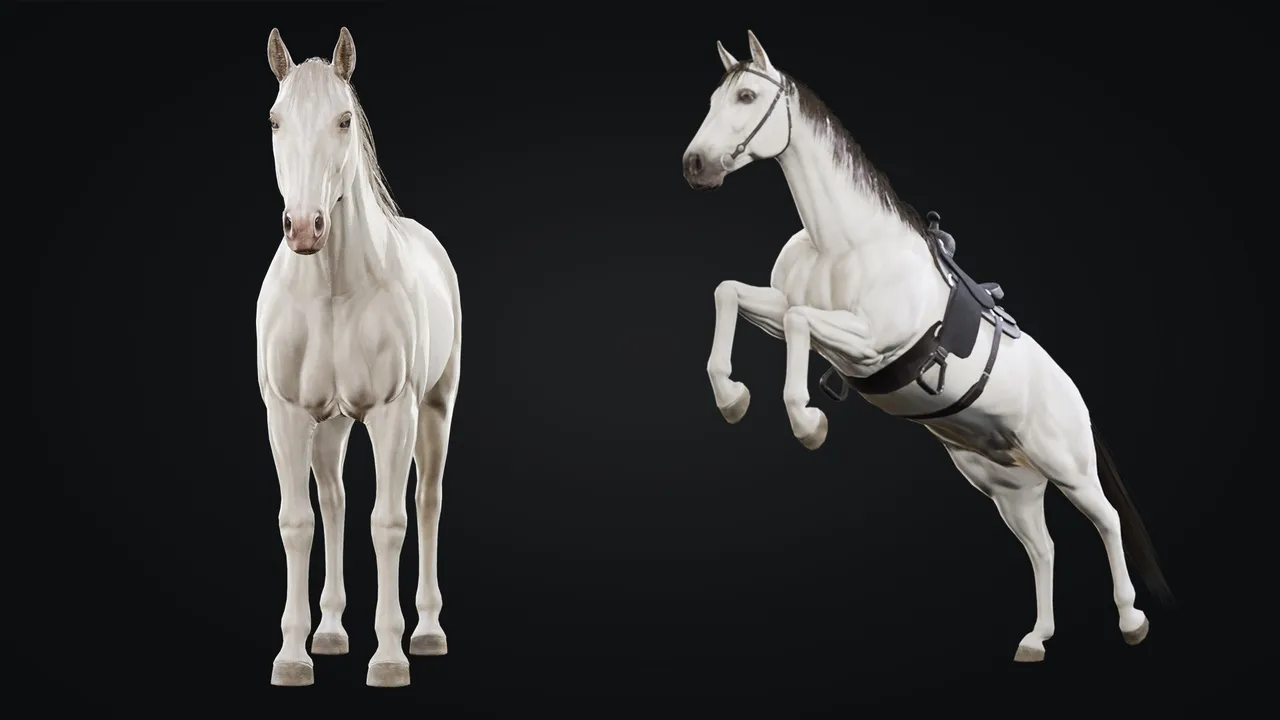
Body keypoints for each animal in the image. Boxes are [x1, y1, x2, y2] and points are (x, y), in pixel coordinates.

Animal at [256, 28, 462, 687]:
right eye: (275, 120)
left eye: (344, 119)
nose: (304, 228)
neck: (333, 289)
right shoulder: (286, 415)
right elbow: (299, 521)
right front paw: (292, 655)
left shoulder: (395, 415)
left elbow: (388, 523)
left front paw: (390, 655)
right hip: (331, 426)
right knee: (334, 503)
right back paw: (328, 632)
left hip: (435, 410)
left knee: (426, 503)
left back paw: (427, 631)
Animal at [680, 31, 1172, 662]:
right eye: (714, 98)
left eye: (745, 96)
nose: (695, 165)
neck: (847, 244)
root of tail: (1074, 398)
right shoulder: (786, 312)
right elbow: (732, 295)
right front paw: (732, 397)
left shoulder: (871, 344)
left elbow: (797, 321)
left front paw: (808, 422)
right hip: (1010, 486)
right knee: (1042, 548)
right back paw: (1036, 639)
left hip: (1070, 467)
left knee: (1106, 521)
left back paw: (1132, 620)